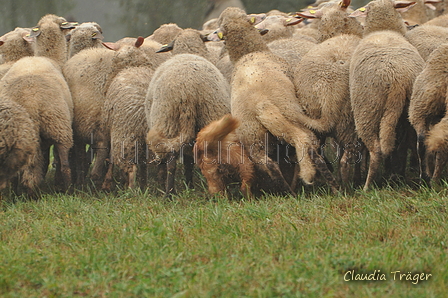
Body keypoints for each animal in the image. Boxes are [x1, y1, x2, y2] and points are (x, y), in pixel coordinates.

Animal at [215, 7, 338, 194]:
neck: (249, 53)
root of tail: (261, 105)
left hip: (253, 138)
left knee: (269, 164)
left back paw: (290, 192)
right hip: (289, 116)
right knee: (309, 144)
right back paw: (332, 186)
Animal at [348, 0, 426, 190]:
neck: (383, 30)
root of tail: (398, 79)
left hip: (367, 110)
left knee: (376, 149)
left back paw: (368, 187)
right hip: (412, 109)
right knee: (415, 142)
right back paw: (413, 179)